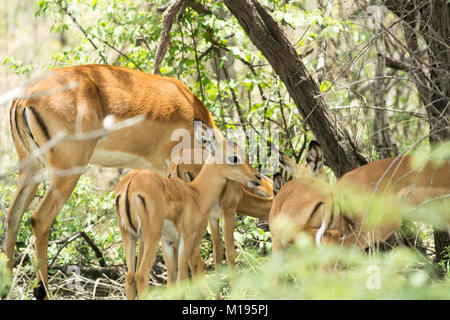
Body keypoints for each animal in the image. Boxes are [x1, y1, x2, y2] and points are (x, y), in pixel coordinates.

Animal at [114, 123, 260, 300]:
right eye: (234, 157)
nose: (257, 177)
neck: (195, 194)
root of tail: (131, 184)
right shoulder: (186, 237)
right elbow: (183, 276)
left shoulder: (169, 241)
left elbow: (172, 279)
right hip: (151, 238)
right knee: (141, 275)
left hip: (129, 236)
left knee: (130, 277)